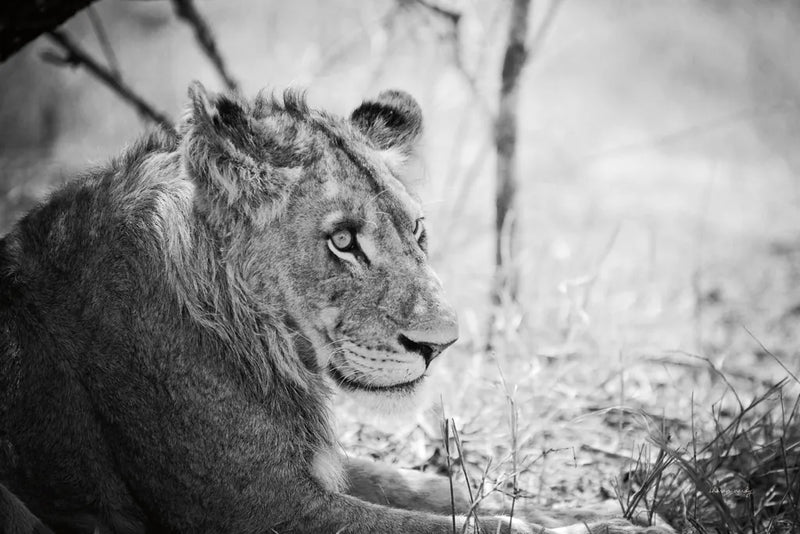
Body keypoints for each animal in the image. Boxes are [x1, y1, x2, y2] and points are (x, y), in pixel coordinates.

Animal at [0, 82, 673, 534]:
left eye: (417, 231)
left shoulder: (313, 469)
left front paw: (606, 515)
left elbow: (438, 488)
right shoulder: (259, 506)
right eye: (343, 241)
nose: (441, 344)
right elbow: (452, 525)